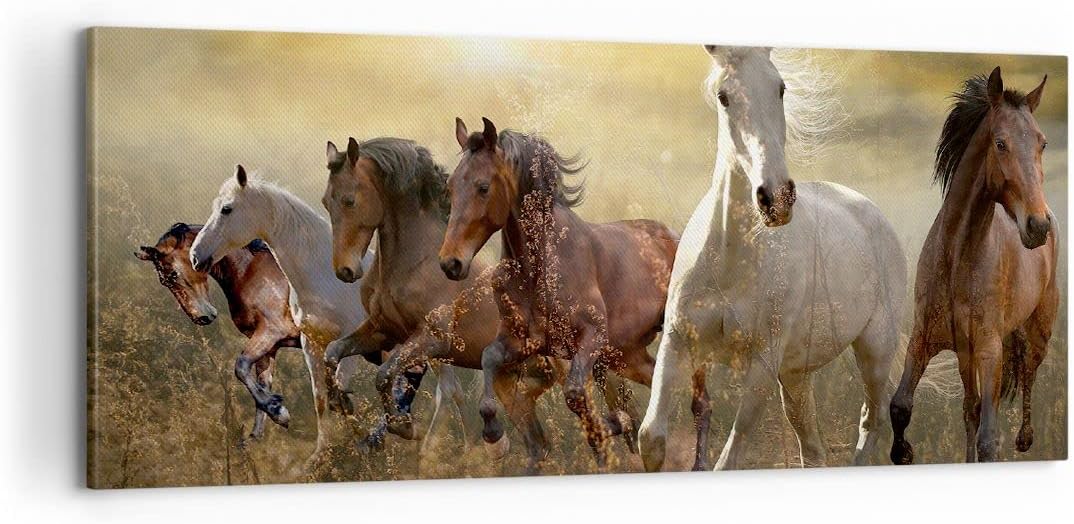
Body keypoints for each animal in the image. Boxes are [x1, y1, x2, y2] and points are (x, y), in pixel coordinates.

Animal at [137, 223, 303, 442]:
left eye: (173, 273)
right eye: (163, 281)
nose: (201, 317)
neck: (251, 270)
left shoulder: (270, 333)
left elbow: (241, 367)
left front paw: (277, 411)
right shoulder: (270, 346)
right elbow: (261, 383)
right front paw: (258, 433)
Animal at [438, 118, 679, 470]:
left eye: (483, 187)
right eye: (451, 187)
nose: (451, 263)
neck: (538, 268)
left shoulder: (592, 337)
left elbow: (577, 396)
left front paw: (608, 428)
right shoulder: (523, 341)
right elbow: (489, 359)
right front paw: (494, 436)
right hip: (627, 355)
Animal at [637, 46, 907, 472]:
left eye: (780, 88)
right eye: (723, 96)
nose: (776, 198)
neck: (732, 260)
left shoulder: (764, 361)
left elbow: (731, 455)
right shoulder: (679, 341)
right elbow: (651, 439)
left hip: (875, 350)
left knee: (872, 419)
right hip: (797, 374)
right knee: (812, 447)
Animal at [890, 67, 1058, 464]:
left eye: (1042, 143)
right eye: (1000, 143)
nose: (1037, 226)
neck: (957, 259)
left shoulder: (989, 350)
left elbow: (988, 438)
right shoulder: (923, 340)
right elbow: (901, 407)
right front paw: (903, 452)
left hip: (1039, 330)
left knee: (1029, 373)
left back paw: (1025, 439)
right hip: (965, 357)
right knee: (970, 407)